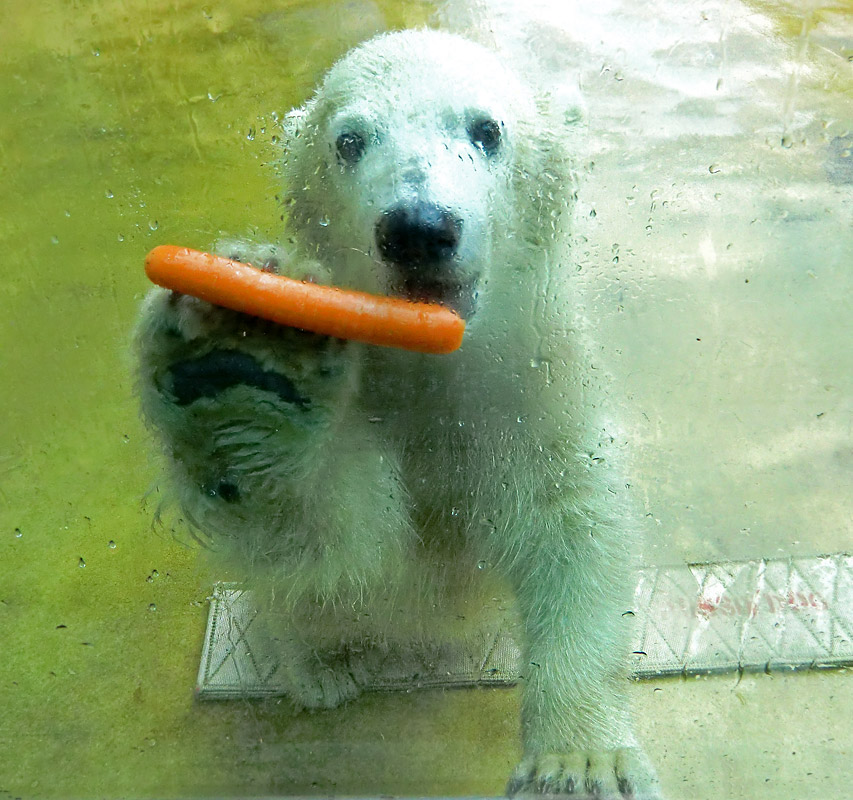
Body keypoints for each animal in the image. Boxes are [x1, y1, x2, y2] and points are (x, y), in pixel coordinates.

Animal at [136, 28, 664, 796]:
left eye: (486, 129)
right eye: (350, 140)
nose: (418, 228)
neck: (429, 360)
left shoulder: (533, 380)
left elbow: (569, 521)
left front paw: (581, 761)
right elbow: (350, 547)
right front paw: (246, 370)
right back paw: (323, 665)